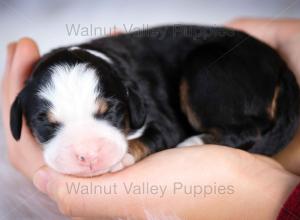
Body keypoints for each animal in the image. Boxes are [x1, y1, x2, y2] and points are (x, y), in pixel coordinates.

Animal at [9, 24, 300, 176]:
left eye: (111, 112)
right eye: (45, 124)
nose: (88, 155)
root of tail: (281, 64)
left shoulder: (162, 119)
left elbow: (149, 137)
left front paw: (122, 157)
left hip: (206, 70)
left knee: (246, 129)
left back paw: (192, 143)